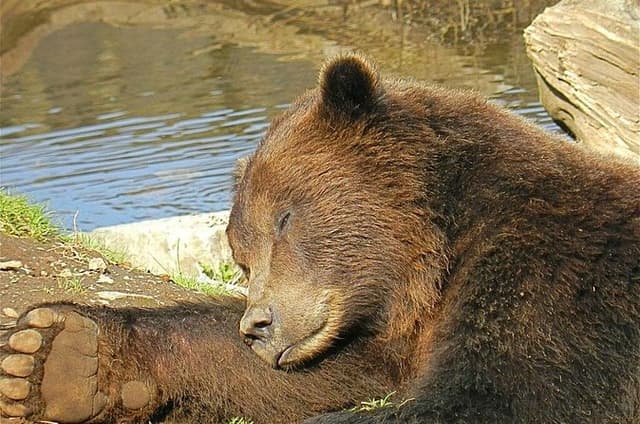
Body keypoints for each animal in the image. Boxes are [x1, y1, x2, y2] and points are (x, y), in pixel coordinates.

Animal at [1, 53, 639, 423]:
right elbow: (338, 371)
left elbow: (497, 396)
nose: (258, 324)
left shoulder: (556, 277)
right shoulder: (386, 336)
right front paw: (54, 355)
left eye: (284, 219)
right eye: (241, 257)